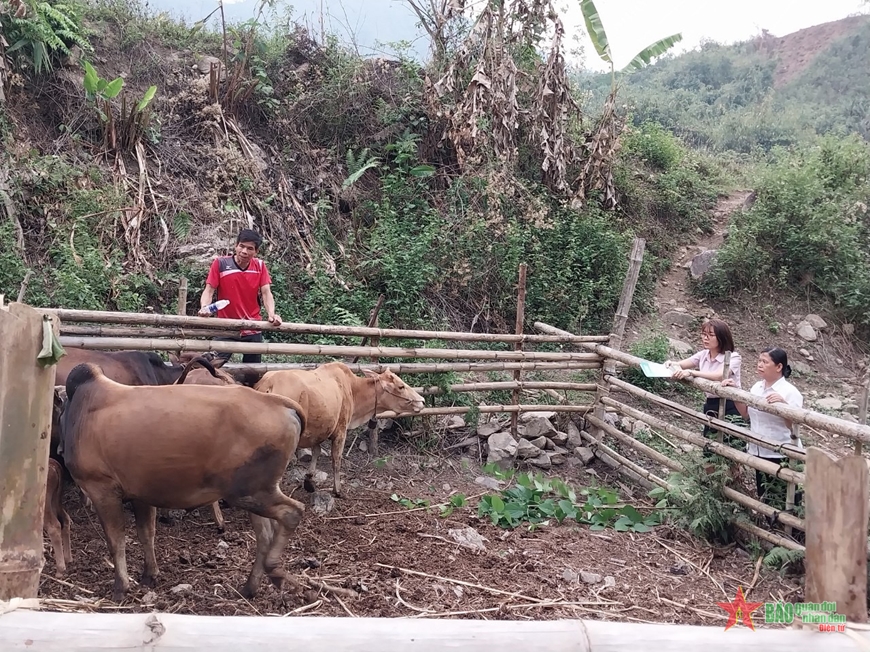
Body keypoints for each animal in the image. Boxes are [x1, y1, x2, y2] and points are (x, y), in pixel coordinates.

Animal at [61, 362, 308, 600]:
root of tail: (280, 403)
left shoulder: (101, 488)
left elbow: (116, 542)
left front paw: (121, 587)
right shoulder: (139, 493)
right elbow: (146, 533)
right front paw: (149, 575)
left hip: (250, 492)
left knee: (292, 512)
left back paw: (274, 570)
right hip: (255, 493)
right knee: (265, 536)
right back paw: (250, 587)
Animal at [254, 364, 428, 496]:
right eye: (401, 386)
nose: (422, 401)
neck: (353, 389)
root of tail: (268, 384)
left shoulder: (320, 429)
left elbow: (316, 452)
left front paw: (309, 481)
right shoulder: (340, 431)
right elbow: (336, 460)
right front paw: (337, 490)